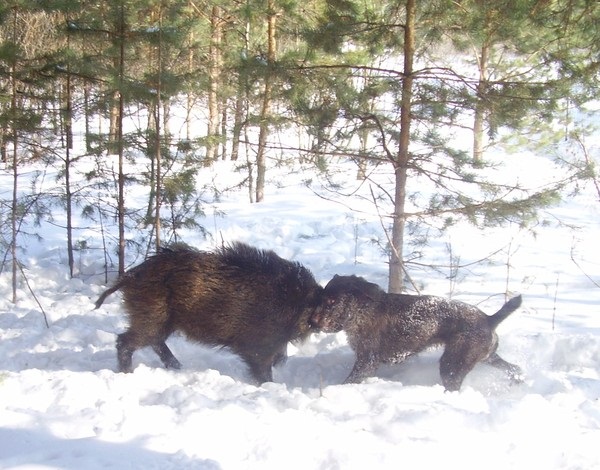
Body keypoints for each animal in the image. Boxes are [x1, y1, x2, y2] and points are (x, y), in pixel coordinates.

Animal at [312, 274, 524, 392]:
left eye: (332, 301)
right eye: (321, 298)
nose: (312, 322)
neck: (361, 310)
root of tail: (489, 319)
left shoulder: (367, 361)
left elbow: (348, 381)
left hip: (452, 364)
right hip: (487, 357)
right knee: (515, 369)